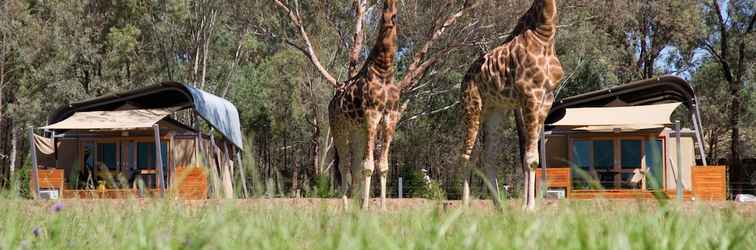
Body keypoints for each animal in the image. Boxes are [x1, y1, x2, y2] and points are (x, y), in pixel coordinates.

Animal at [330, 0, 402, 209]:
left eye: (396, 14)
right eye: (384, 8)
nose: (389, 19)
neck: (384, 70)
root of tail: (331, 102)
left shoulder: (391, 116)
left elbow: (383, 166)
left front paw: (382, 207)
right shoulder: (372, 114)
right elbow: (368, 166)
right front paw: (365, 207)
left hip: (357, 132)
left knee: (353, 166)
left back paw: (353, 205)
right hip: (339, 129)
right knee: (344, 165)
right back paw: (346, 206)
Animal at [458, 0, 564, 210]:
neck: (546, 33)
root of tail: (464, 80)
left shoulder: (546, 97)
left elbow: (532, 158)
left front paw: (529, 207)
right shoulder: (530, 95)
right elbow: (530, 158)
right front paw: (529, 208)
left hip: (495, 112)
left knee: (486, 158)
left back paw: (501, 208)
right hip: (472, 107)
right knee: (467, 156)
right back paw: (465, 208)